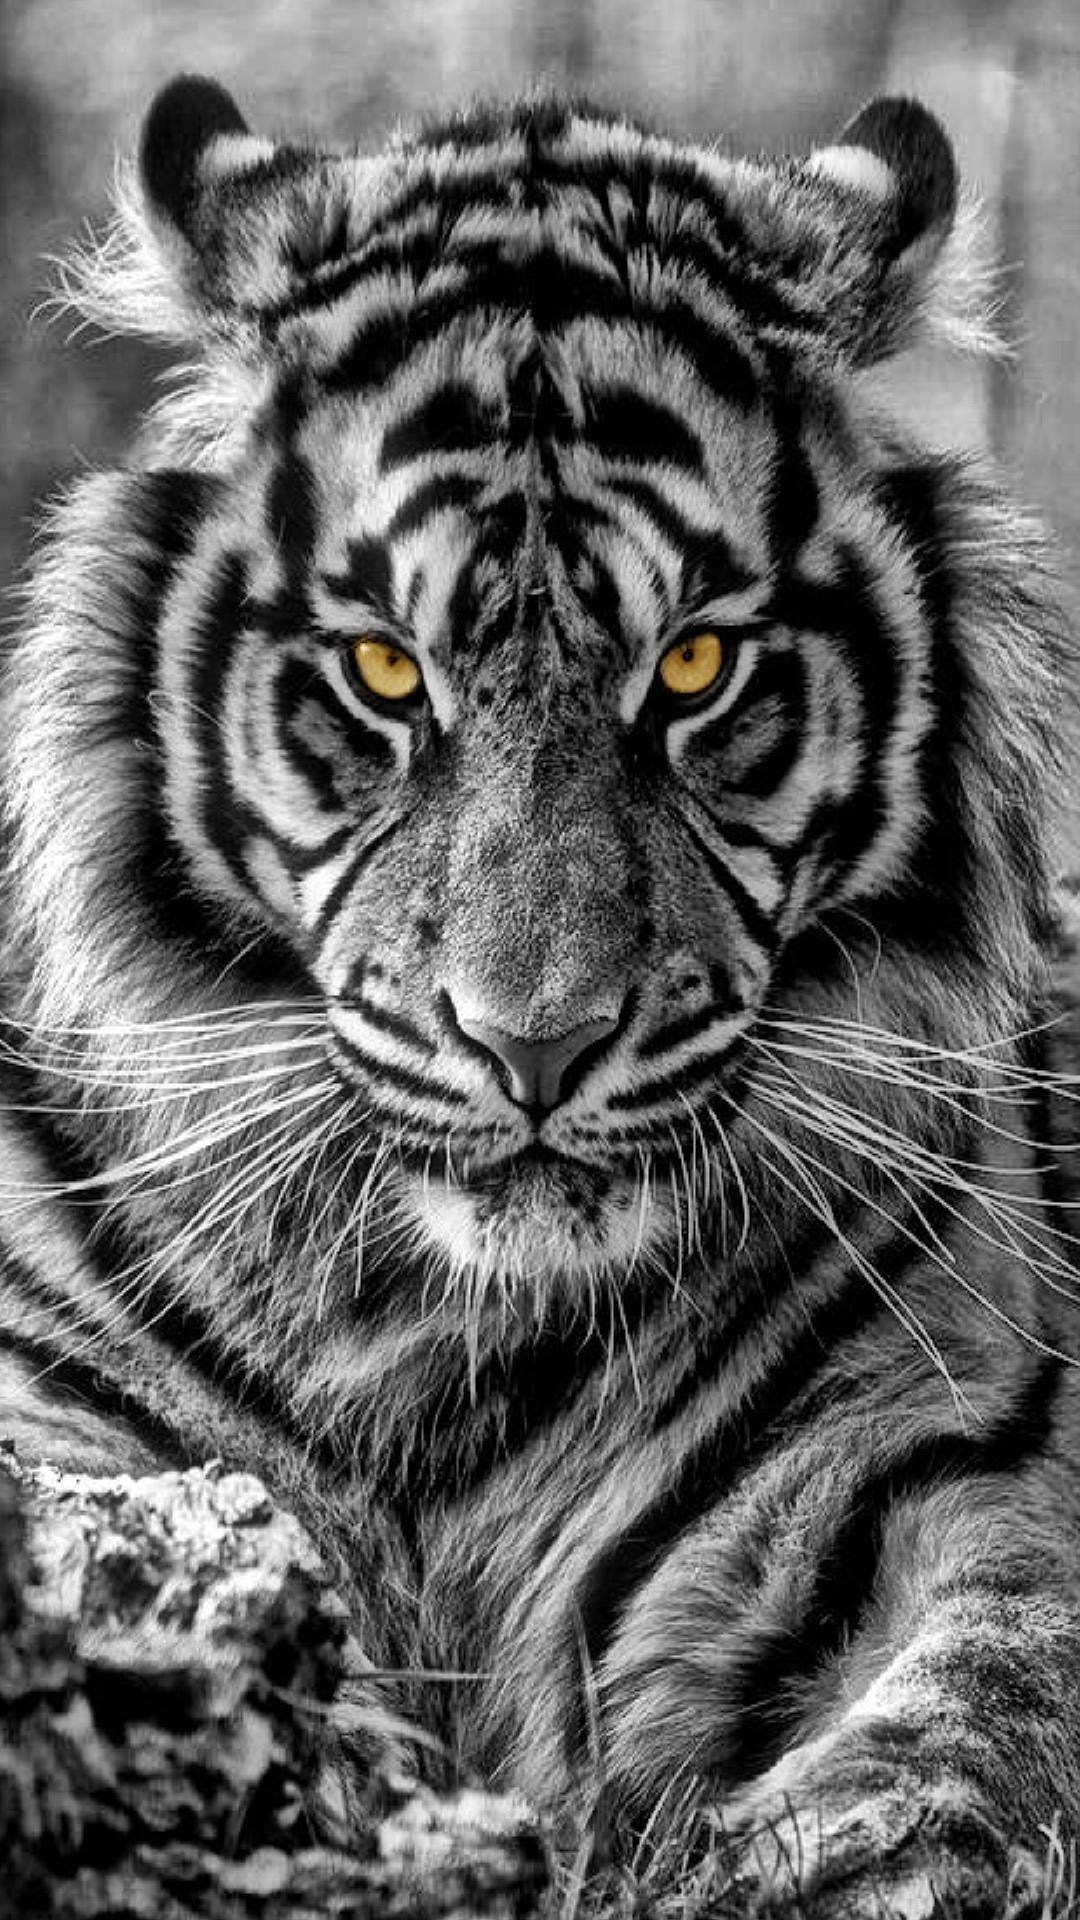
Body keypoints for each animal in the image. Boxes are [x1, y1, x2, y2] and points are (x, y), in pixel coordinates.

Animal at [4, 68, 1080, 1914]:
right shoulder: (56, 1407)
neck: (444, 1337)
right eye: (384, 671)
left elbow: (975, 1717)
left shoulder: (943, 1463)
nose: (537, 1048)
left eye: (697, 665)